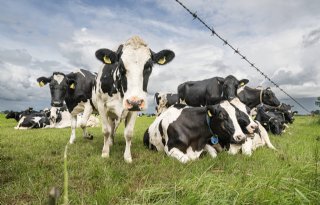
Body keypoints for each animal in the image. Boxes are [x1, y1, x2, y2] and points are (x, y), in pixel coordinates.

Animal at [93, 35, 175, 163]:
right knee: (110, 128)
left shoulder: (135, 109)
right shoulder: (101, 105)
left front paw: (127, 157)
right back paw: (110, 143)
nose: (134, 101)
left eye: (149, 67)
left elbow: (128, 133)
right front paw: (105, 153)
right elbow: (106, 130)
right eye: (121, 66)